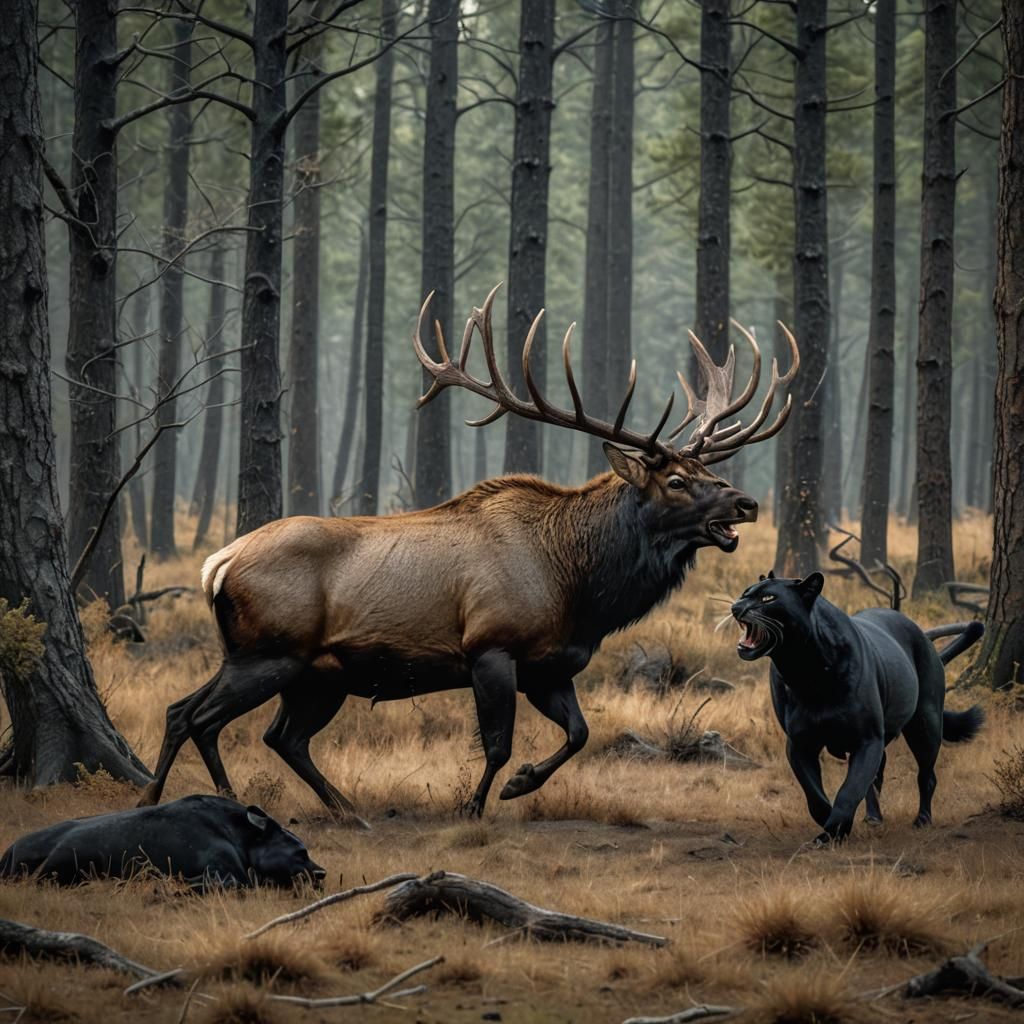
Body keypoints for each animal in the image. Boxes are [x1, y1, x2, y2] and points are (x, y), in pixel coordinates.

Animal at [139, 284, 799, 827]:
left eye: (709, 470)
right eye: (677, 481)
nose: (745, 502)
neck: (581, 589)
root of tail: (218, 564)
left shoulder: (550, 665)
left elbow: (580, 733)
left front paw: (523, 784)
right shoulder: (491, 646)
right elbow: (499, 743)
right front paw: (480, 803)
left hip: (306, 669)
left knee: (252, 729)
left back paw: (338, 809)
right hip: (271, 652)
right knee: (205, 718)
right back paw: (201, 800)